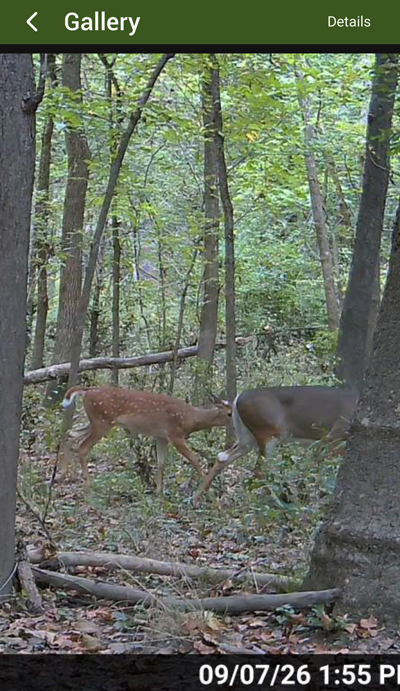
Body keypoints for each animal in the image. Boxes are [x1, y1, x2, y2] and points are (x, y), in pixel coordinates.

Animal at [58, 385, 231, 495]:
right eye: (229, 413)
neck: (190, 419)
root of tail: (87, 391)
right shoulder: (175, 435)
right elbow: (195, 460)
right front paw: (207, 487)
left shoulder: (161, 436)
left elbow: (161, 463)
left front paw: (158, 490)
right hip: (102, 421)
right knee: (82, 448)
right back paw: (88, 484)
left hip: (94, 421)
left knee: (70, 434)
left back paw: (63, 474)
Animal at [192, 385, 358, 506]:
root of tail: (236, 400)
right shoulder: (335, 436)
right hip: (268, 431)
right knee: (259, 470)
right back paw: (280, 503)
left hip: (247, 438)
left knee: (223, 457)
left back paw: (195, 499)